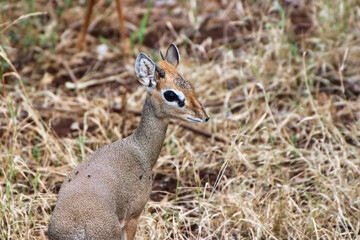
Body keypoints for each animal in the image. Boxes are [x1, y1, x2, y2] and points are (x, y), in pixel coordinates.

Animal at [49, 44, 210, 239]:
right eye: (170, 94)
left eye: (188, 85)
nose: (204, 117)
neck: (139, 149)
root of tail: (79, 229)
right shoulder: (134, 216)